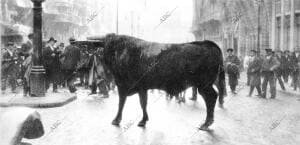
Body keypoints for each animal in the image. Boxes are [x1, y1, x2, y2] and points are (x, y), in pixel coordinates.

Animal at [79, 34, 225, 130]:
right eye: (106, 46)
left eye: (111, 47)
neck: (123, 51)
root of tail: (208, 43)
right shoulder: (141, 87)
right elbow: (143, 103)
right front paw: (143, 120)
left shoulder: (124, 85)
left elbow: (122, 102)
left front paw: (116, 119)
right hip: (204, 85)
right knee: (213, 97)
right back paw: (208, 121)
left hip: (204, 85)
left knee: (212, 97)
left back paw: (206, 123)